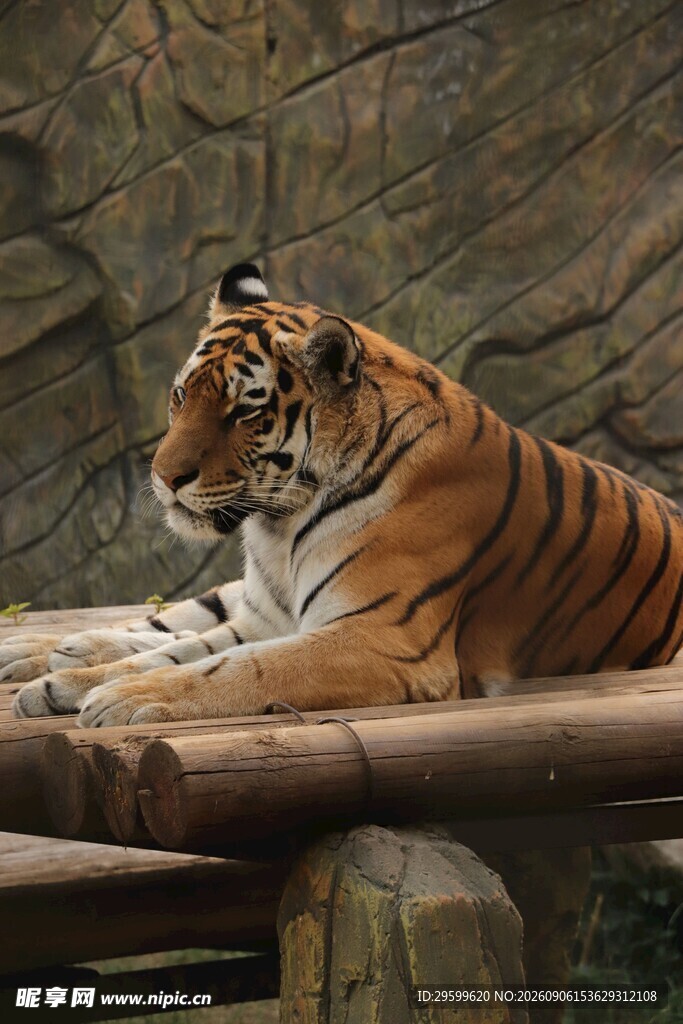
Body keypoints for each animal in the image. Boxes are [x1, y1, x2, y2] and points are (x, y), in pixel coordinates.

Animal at [5, 262, 683, 728]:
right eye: (181, 396)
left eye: (242, 411)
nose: (164, 477)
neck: (278, 528)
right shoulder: (274, 616)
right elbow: (178, 650)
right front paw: (69, 682)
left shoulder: (382, 638)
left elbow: (235, 666)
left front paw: (116, 697)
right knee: (164, 622)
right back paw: (37, 651)